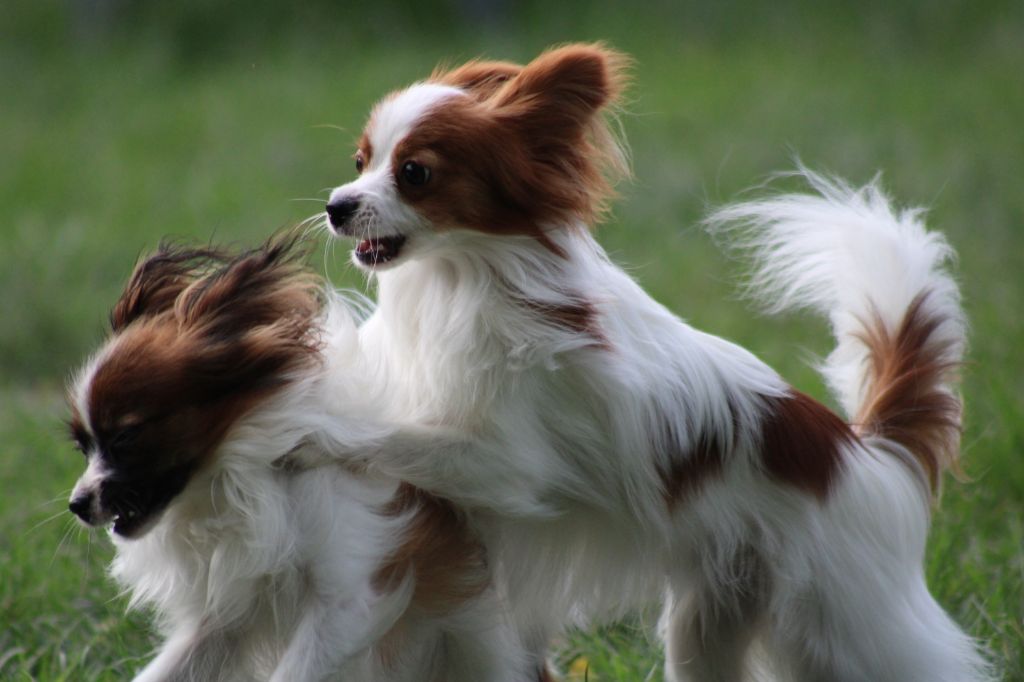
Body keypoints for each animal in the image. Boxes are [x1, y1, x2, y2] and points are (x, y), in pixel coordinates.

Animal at [66, 239, 533, 682]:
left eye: (125, 437)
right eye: (82, 446)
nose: (77, 504)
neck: (249, 473)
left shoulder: (352, 598)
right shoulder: (226, 619)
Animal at [318, 44, 992, 681]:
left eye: (414, 173)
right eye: (359, 163)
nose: (335, 205)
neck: (454, 282)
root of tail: (870, 453)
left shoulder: (502, 465)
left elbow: (386, 434)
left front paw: (310, 422)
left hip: (843, 632)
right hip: (708, 624)